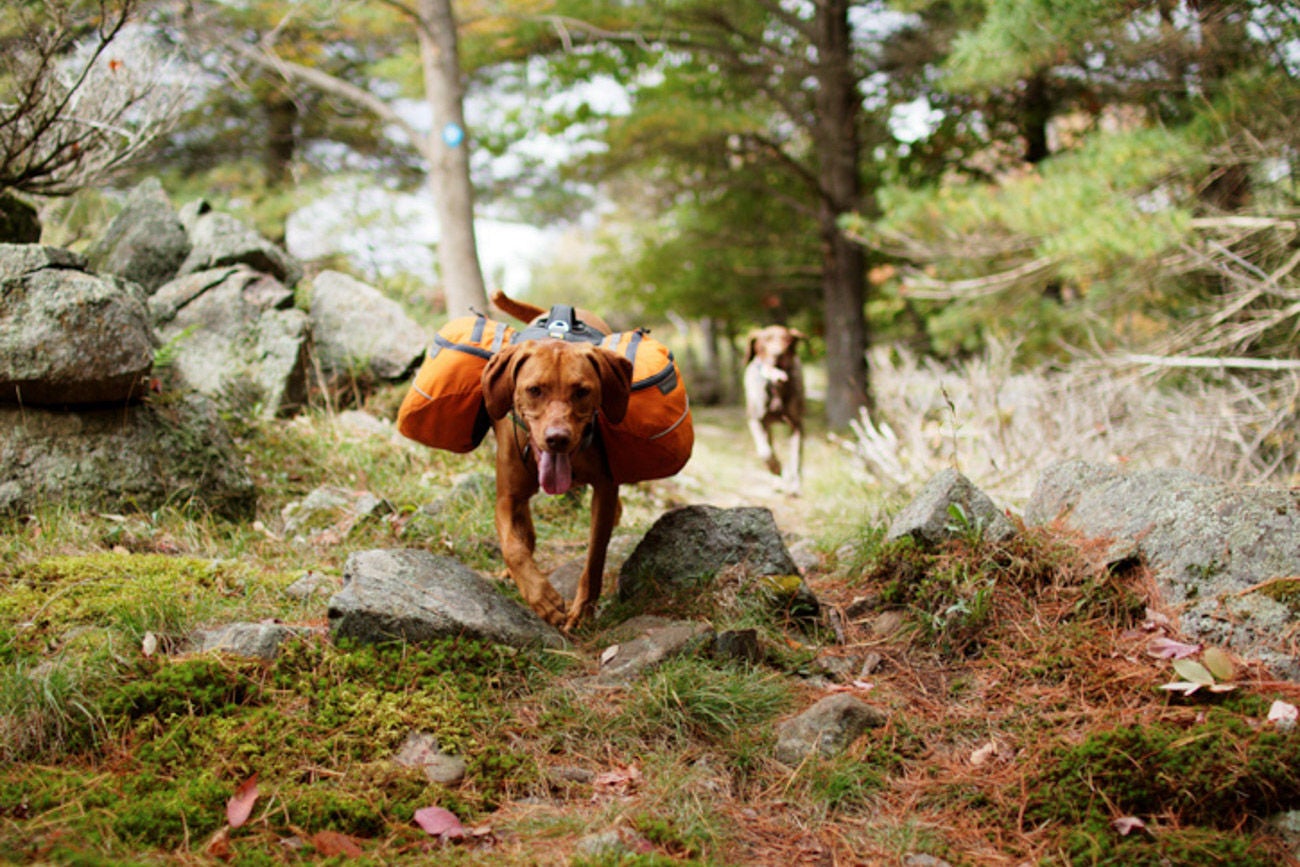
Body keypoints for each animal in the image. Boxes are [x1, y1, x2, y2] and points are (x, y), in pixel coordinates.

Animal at [483, 293, 634, 631]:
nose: (557, 438)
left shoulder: (604, 490)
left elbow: (595, 555)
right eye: (534, 390)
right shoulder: (506, 497)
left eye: (582, 392)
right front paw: (542, 597)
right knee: (525, 534)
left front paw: (583, 609)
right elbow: (513, 547)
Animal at [743, 324, 800, 493]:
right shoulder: (755, 420)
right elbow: (765, 452)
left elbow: (796, 456)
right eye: (766, 340)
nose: (778, 354)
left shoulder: (796, 424)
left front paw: (794, 484)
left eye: (787, 339)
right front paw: (777, 469)